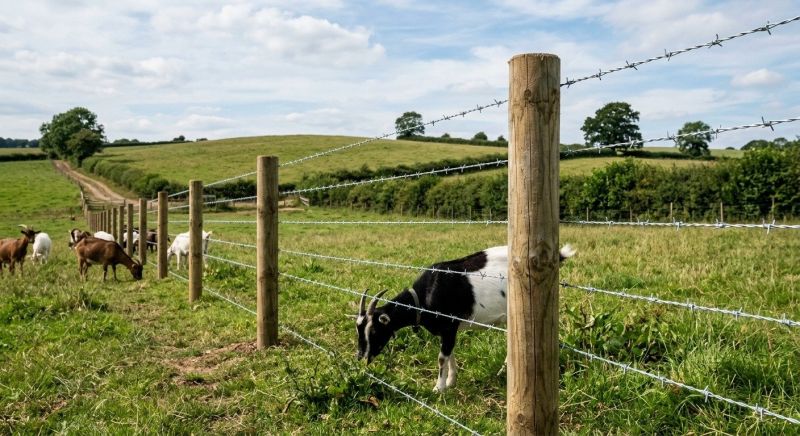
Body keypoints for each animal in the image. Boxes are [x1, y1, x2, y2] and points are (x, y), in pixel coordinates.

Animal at [356, 244, 576, 392]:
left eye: (374, 330)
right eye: (358, 329)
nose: (361, 357)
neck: (424, 296)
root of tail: (556, 256)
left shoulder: (449, 325)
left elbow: (441, 358)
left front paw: (438, 388)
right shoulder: (447, 330)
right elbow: (449, 354)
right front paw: (451, 381)